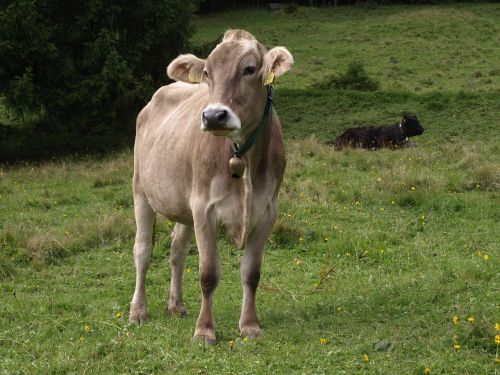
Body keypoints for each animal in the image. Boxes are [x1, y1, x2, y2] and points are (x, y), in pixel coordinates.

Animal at [129, 30, 292, 346]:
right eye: (207, 72)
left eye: (249, 69)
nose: (214, 116)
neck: (242, 159)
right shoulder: (204, 209)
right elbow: (208, 274)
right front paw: (204, 330)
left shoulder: (267, 210)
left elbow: (252, 273)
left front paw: (249, 325)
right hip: (141, 190)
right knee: (143, 250)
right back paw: (138, 311)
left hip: (183, 204)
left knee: (177, 249)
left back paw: (176, 305)